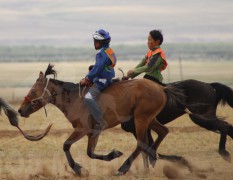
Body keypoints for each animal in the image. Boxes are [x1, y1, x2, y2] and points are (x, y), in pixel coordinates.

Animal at [17, 64, 187, 176]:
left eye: (33, 91)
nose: (20, 110)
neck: (74, 99)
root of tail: (161, 88)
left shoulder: (83, 129)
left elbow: (67, 146)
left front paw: (79, 169)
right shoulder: (93, 132)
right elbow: (90, 152)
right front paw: (112, 155)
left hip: (141, 119)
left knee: (141, 143)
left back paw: (124, 168)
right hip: (149, 119)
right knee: (161, 133)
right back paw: (156, 158)